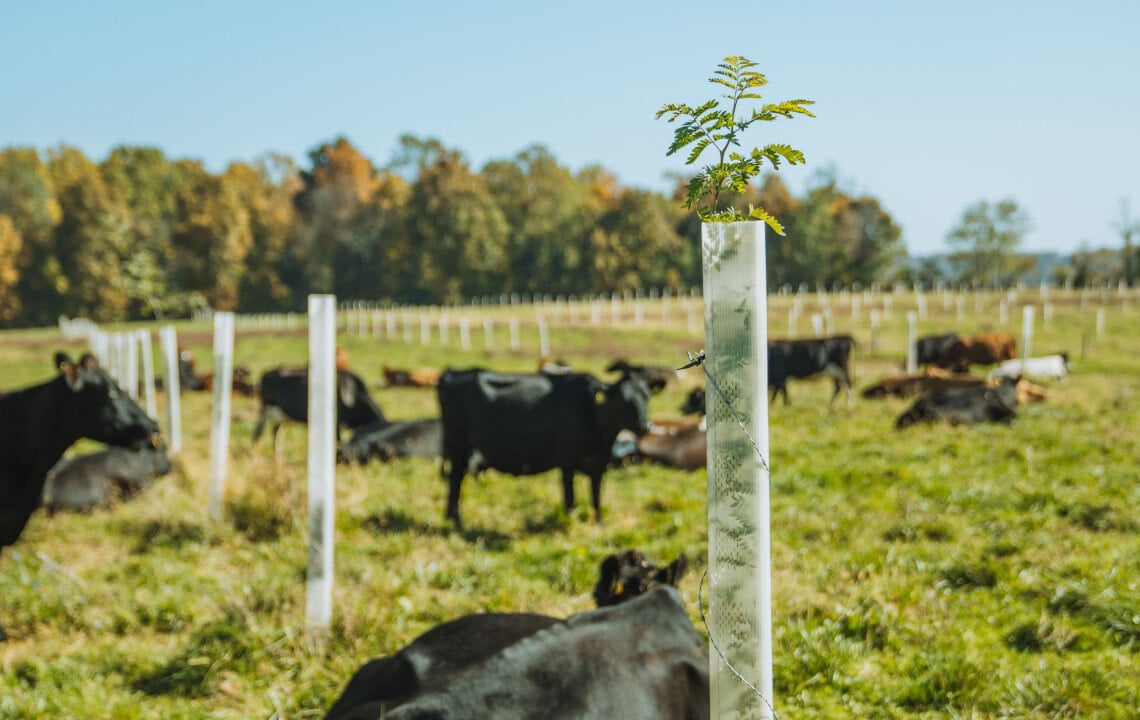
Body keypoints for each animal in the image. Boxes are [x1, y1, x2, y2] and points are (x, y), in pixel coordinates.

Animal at [251, 364, 389, 451]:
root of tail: (268, 372)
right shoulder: (336, 422)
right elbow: (338, 441)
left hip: (281, 416)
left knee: (276, 432)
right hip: (266, 409)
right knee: (257, 432)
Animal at [435, 364, 652, 528]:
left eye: (647, 396)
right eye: (623, 400)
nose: (645, 425)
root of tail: (452, 373)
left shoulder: (599, 463)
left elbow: (596, 495)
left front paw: (599, 523)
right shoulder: (567, 461)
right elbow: (570, 497)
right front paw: (569, 524)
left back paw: (451, 518)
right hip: (457, 444)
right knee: (455, 480)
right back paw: (458, 522)